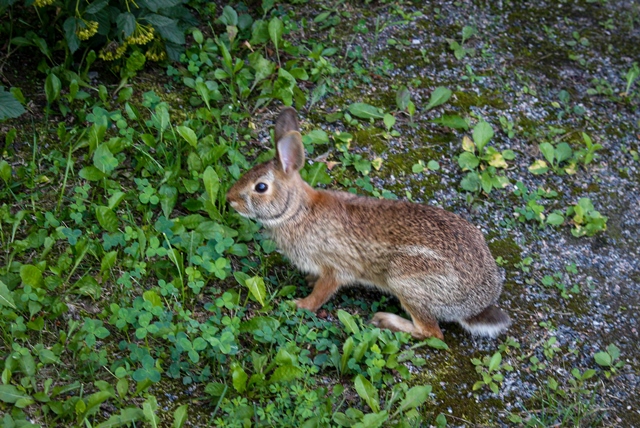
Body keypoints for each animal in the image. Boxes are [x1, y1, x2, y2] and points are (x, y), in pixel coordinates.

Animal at [225, 108, 510, 342]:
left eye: (261, 187)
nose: (230, 200)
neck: (296, 212)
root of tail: (477, 304)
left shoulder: (336, 268)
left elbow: (322, 293)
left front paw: (301, 304)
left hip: (407, 282)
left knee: (432, 332)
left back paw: (384, 320)